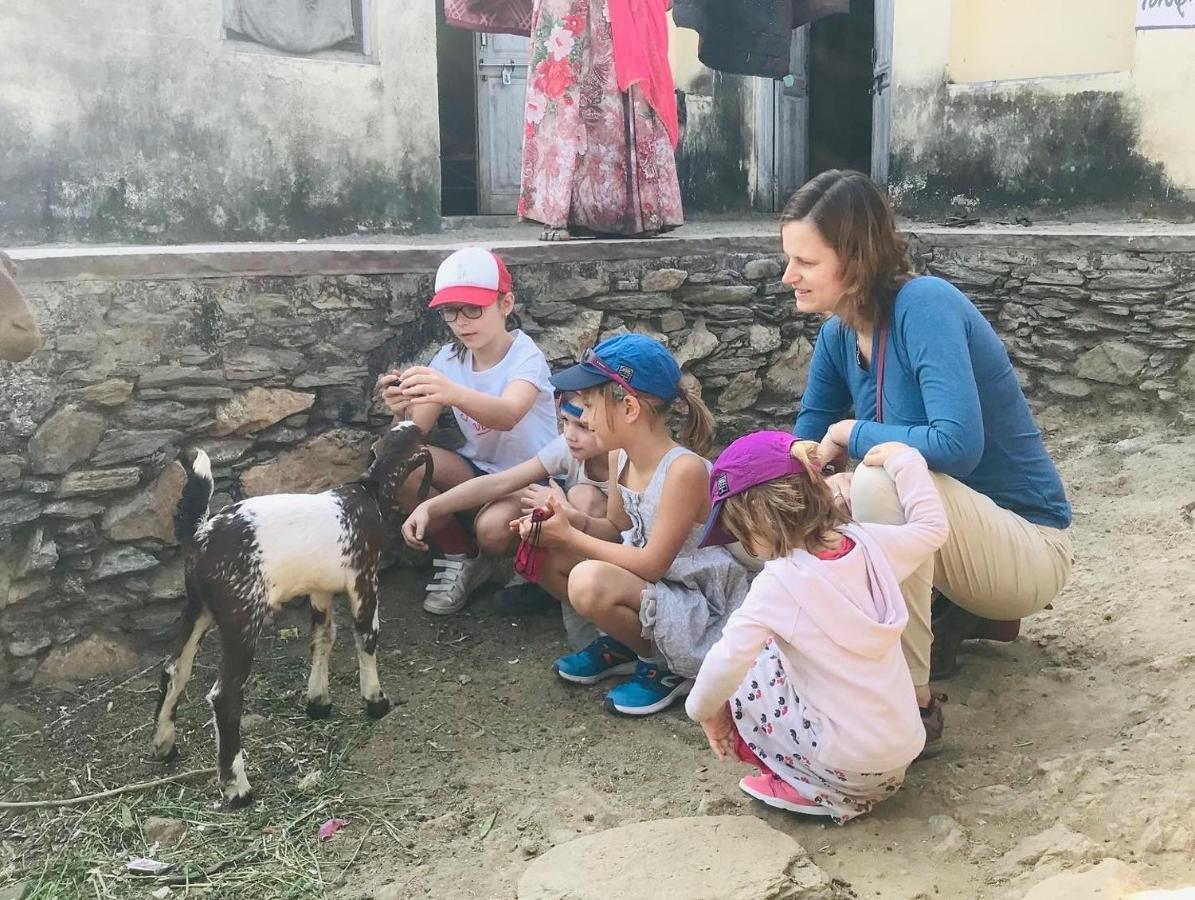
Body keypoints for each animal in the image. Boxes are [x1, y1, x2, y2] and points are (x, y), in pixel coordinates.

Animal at [148, 420, 430, 807]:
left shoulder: (320, 589)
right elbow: (366, 636)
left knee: (175, 669)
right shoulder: (364, 581)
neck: (366, 494)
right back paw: (238, 789)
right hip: (241, 616)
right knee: (225, 696)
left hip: (198, 607)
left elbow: (323, 638)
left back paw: (164, 745)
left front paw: (318, 701)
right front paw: (375, 701)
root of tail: (200, 533)